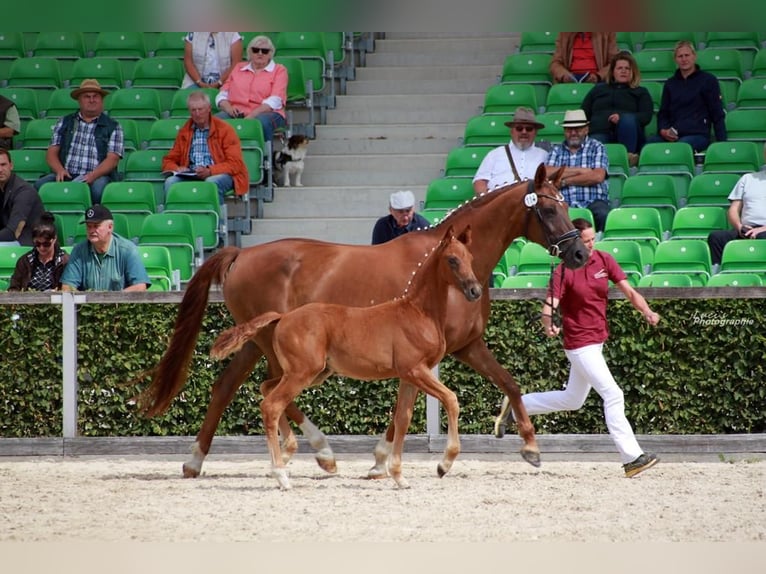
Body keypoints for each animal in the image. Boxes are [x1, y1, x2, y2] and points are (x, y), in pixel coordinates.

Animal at [210, 225, 482, 489]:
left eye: (470, 258)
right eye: (452, 260)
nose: (475, 290)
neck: (418, 312)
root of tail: (283, 316)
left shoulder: (410, 376)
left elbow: (402, 419)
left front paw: (398, 476)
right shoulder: (416, 370)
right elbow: (451, 399)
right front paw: (443, 465)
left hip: (311, 372)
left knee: (267, 389)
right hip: (303, 372)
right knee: (272, 405)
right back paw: (282, 475)